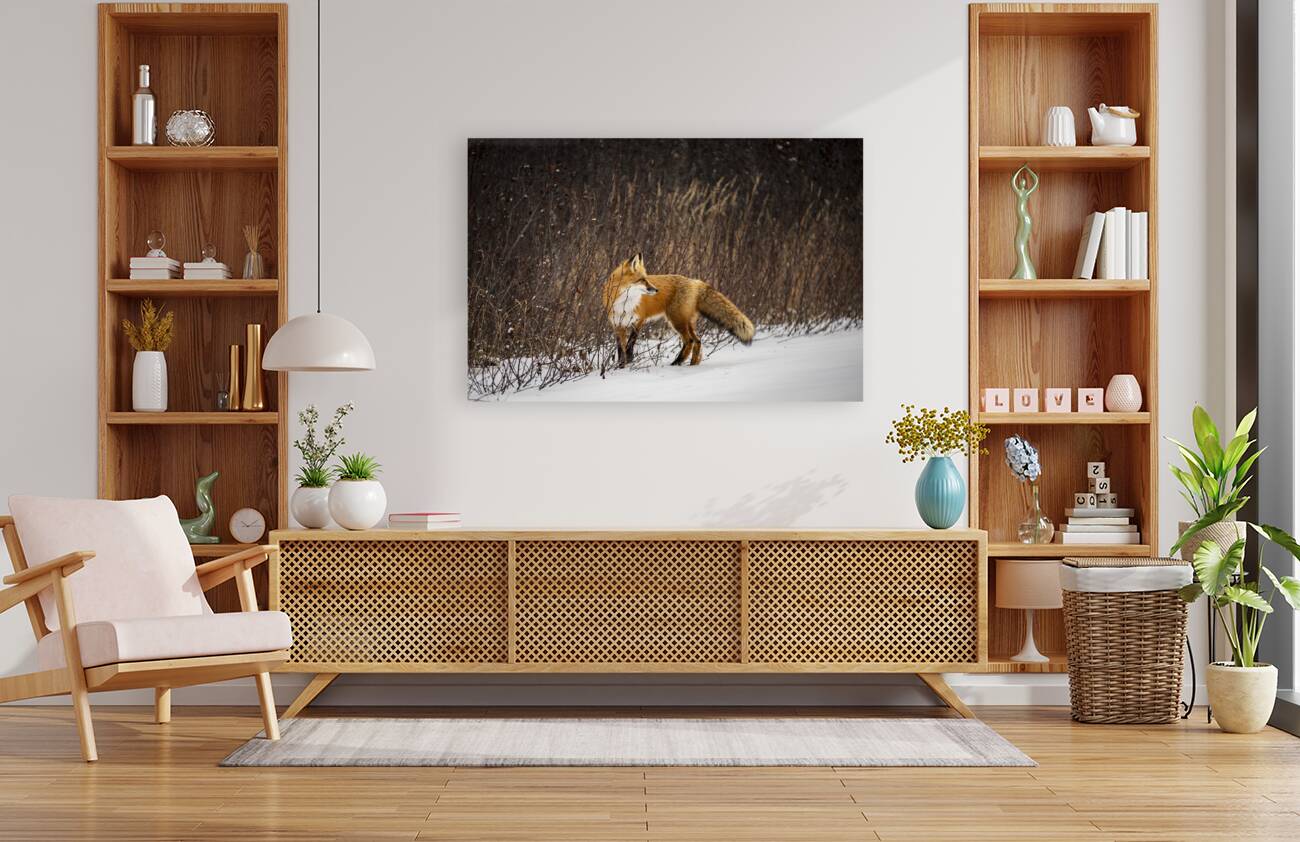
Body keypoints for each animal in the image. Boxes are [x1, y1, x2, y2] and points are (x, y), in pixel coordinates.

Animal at [601, 253, 755, 368]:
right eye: (642, 280)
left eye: (646, 278)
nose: (656, 290)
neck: (624, 303)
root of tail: (694, 281)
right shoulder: (617, 325)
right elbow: (620, 349)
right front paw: (620, 366)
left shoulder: (639, 321)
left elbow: (630, 344)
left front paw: (629, 361)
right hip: (686, 321)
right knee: (698, 340)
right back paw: (692, 364)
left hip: (676, 320)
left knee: (690, 341)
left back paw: (677, 362)